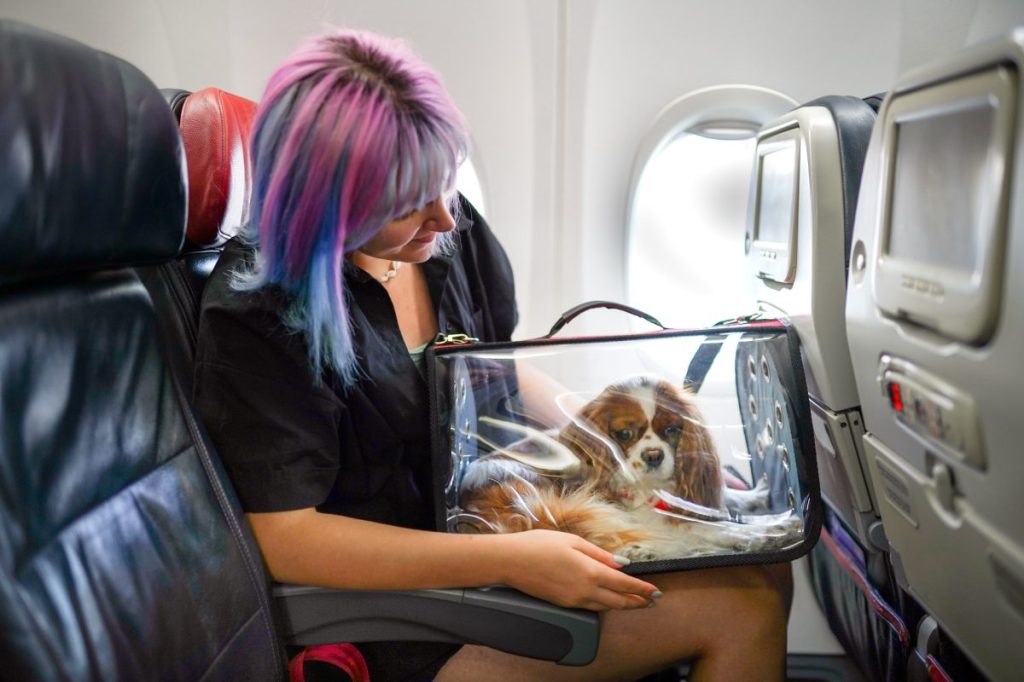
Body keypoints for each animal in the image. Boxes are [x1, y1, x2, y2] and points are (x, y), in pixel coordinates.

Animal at [456, 372, 798, 557]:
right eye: (624, 434)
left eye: (672, 430)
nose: (654, 455)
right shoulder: (642, 516)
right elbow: (707, 527)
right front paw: (764, 532)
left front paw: (757, 500)